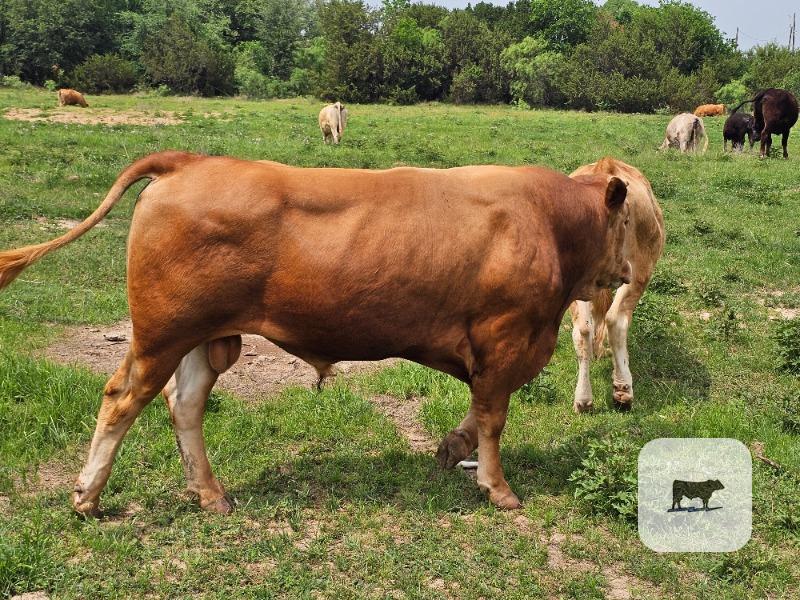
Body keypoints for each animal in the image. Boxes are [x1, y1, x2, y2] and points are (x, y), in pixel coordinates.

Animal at [0, 151, 632, 516]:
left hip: (203, 338)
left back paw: (210, 495)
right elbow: (493, 417)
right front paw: (498, 489)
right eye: (624, 221)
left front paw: (453, 448)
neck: (545, 220)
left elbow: (477, 414)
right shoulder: (504, 338)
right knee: (121, 400)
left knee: (185, 406)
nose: (627, 270)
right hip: (162, 333)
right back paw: (87, 497)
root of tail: (193, 161)